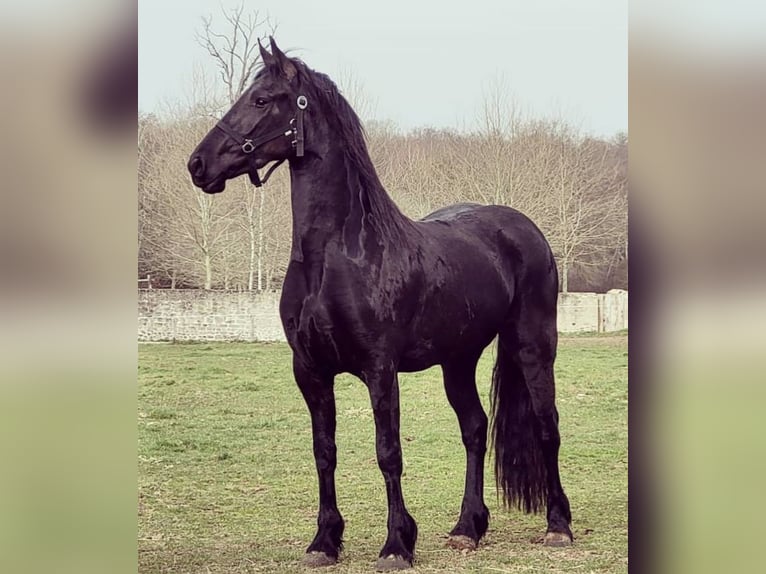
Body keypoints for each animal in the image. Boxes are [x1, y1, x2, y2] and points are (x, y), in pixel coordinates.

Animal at [188, 37, 572, 571]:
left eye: (262, 100)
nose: (198, 165)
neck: (338, 254)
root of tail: (522, 228)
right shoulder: (309, 370)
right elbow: (324, 451)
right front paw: (324, 540)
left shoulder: (379, 368)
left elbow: (388, 452)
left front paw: (396, 544)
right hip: (458, 360)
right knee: (475, 428)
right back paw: (467, 528)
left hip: (533, 347)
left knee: (545, 425)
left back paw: (558, 526)